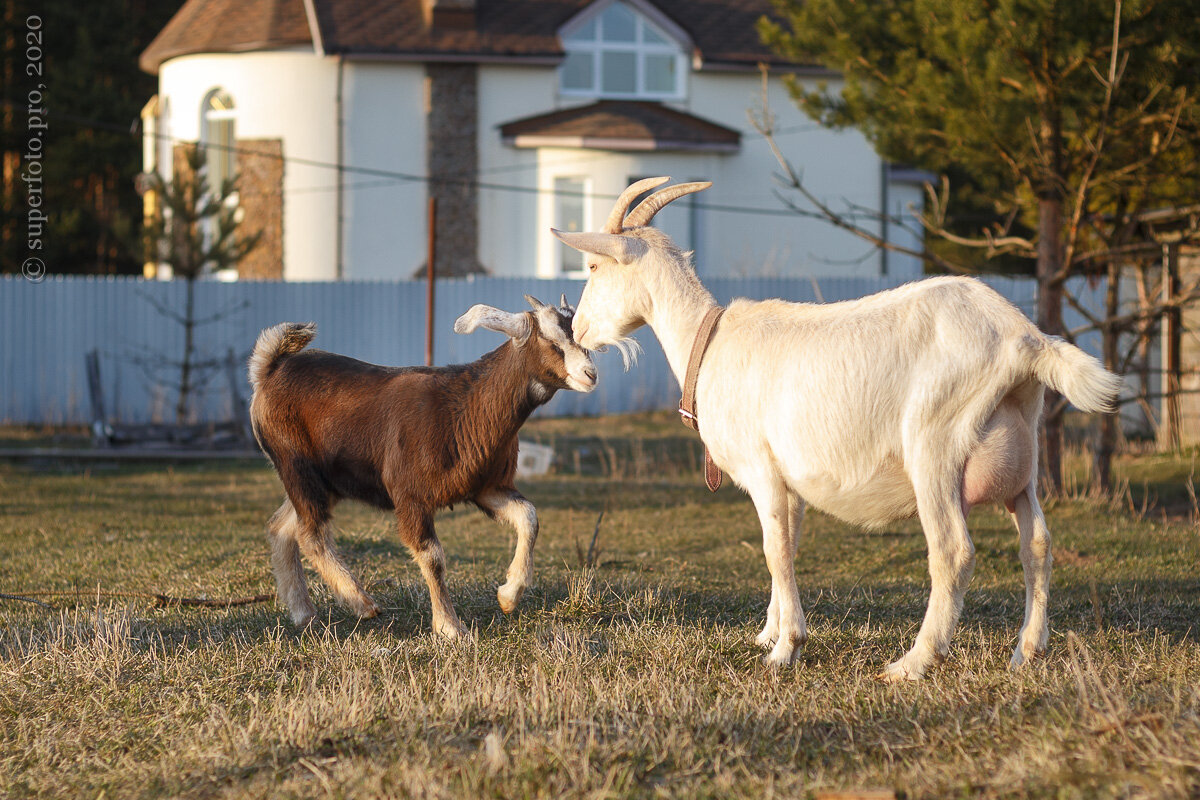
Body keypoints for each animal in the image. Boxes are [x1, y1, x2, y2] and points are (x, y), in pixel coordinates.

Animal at [247, 296, 595, 638]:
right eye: (550, 341)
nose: (590, 374)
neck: (465, 407)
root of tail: (270, 369)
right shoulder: (410, 496)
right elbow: (432, 557)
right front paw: (451, 628)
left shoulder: (487, 487)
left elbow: (529, 517)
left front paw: (509, 595)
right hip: (296, 465)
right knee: (310, 534)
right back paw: (361, 603)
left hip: (329, 481)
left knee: (281, 527)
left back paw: (304, 614)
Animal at [556, 178, 1118, 681]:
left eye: (593, 265)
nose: (577, 329)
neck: (708, 342)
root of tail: (1025, 340)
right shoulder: (790, 483)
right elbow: (787, 544)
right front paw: (770, 632)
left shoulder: (762, 469)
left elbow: (774, 549)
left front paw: (786, 649)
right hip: (1024, 452)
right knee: (1037, 544)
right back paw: (1027, 651)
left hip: (935, 442)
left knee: (953, 551)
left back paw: (913, 663)